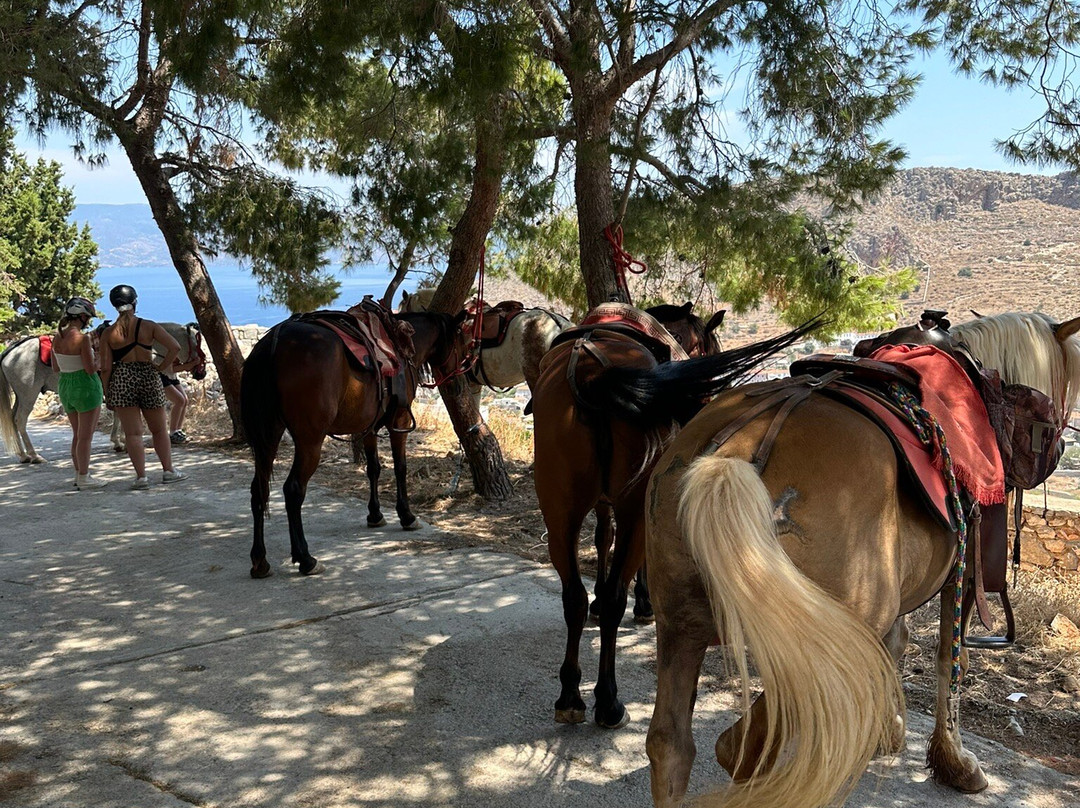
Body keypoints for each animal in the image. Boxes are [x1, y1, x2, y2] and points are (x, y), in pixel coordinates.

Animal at [0, 322, 206, 462]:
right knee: (20, 420)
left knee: (12, 418)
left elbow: (118, 416)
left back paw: (23, 455)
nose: (201, 373)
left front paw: (118, 442)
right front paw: (122, 442)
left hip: (21, 396)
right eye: (198, 345)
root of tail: (11, 351)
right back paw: (34, 455)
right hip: (29, 395)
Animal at [241, 308, 470, 578]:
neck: (403, 343)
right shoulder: (400, 421)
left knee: (259, 489)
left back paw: (260, 561)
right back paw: (305, 558)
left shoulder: (367, 427)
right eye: (461, 343)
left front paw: (375, 514)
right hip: (310, 440)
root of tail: (275, 342)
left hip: (268, 437)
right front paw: (406, 515)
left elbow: (373, 469)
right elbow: (400, 468)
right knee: (293, 489)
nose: (459, 384)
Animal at [531, 301, 819, 730]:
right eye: (708, 343)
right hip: (631, 504)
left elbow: (602, 540)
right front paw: (644, 603)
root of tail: (592, 371)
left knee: (573, 597)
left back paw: (569, 694)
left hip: (558, 510)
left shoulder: (602, 503)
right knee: (614, 597)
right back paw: (608, 700)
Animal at [643, 311, 1080, 808]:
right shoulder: (962, 571)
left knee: (673, 746)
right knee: (741, 748)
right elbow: (951, 660)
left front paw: (888, 730)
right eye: (1056, 400)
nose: (1061, 448)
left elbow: (898, 643)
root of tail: (736, 455)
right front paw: (955, 762)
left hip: (680, 623)